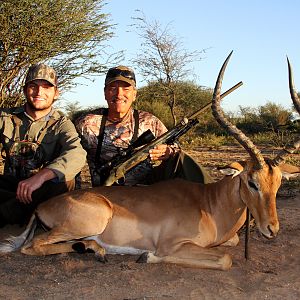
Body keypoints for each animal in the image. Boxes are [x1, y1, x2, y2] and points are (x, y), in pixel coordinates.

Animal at [1, 52, 298, 270]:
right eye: (251, 182)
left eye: (277, 184)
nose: (272, 229)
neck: (209, 205)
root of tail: (41, 206)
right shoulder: (173, 244)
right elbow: (224, 259)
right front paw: (147, 256)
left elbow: (232, 244)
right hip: (88, 222)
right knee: (31, 246)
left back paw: (93, 249)